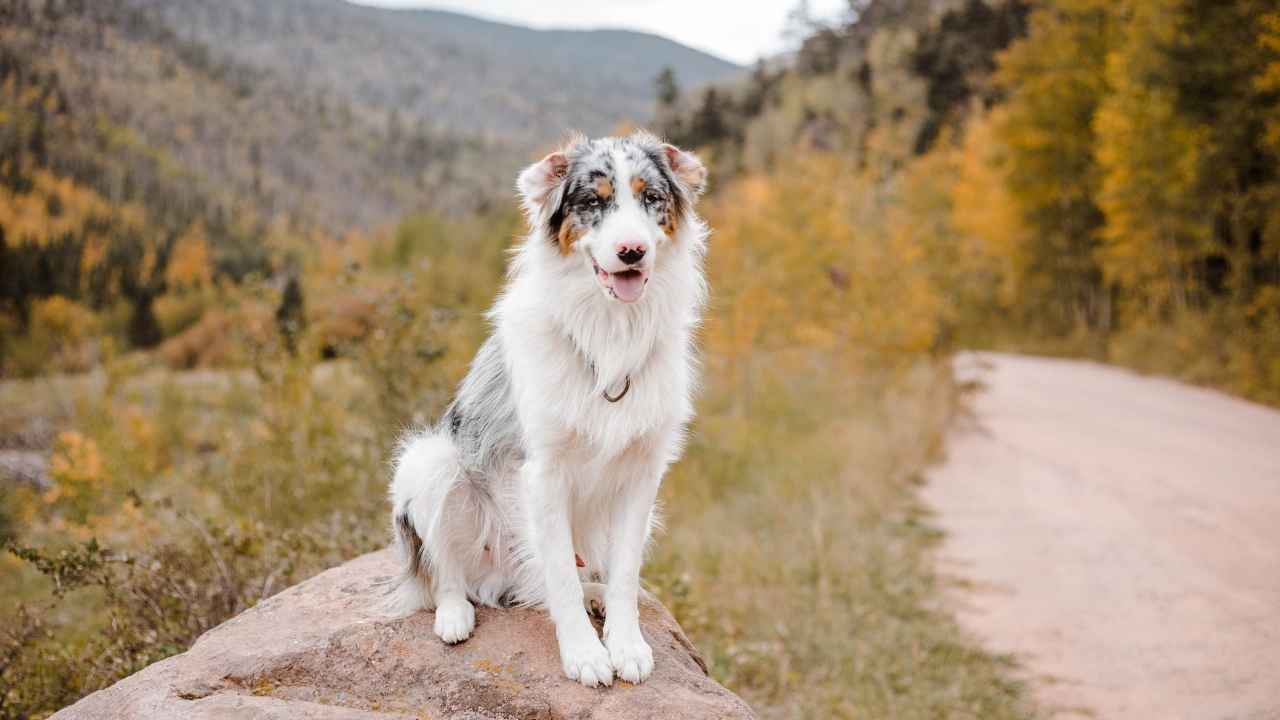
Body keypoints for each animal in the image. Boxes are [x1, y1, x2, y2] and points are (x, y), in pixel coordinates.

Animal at [389, 131, 711, 686]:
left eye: (652, 198)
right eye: (594, 203)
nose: (632, 251)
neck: (608, 333)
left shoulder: (643, 473)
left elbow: (625, 572)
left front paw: (625, 644)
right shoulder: (542, 471)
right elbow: (558, 572)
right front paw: (584, 654)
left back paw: (592, 594)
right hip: (431, 461)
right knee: (445, 572)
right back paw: (455, 615)